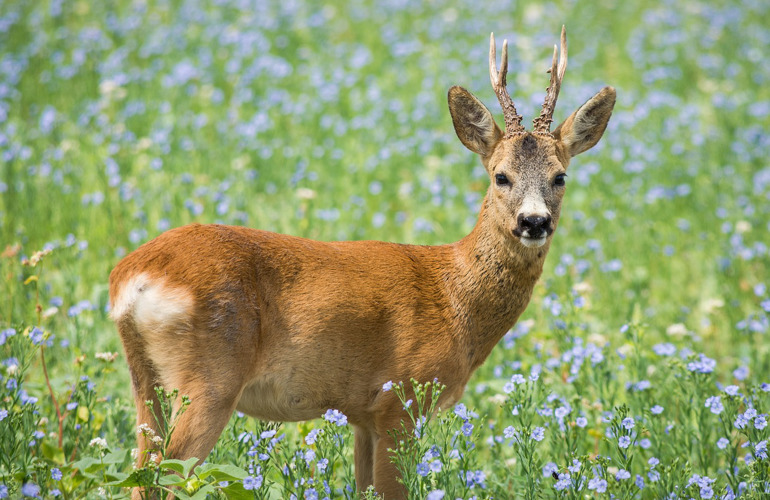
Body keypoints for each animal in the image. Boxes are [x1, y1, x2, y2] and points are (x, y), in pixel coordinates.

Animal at [109, 26, 615, 499]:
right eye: (501, 176)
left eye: (560, 176)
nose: (534, 221)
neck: (454, 298)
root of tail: (132, 277)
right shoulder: (400, 400)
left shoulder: (361, 415)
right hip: (210, 377)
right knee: (164, 476)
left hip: (147, 380)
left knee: (140, 470)